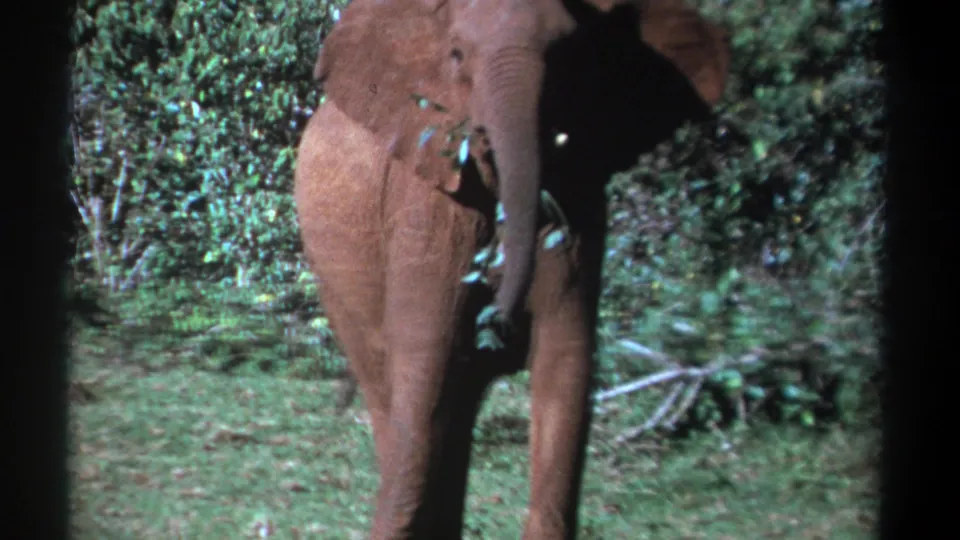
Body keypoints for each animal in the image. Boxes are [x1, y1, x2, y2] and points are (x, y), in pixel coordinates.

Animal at [293, 0, 730, 537]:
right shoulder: (425, 205)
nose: (498, 322)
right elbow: (425, 365)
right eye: (457, 56)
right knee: (395, 391)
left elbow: (565, 367)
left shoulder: (578, 209)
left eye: (569, 56)